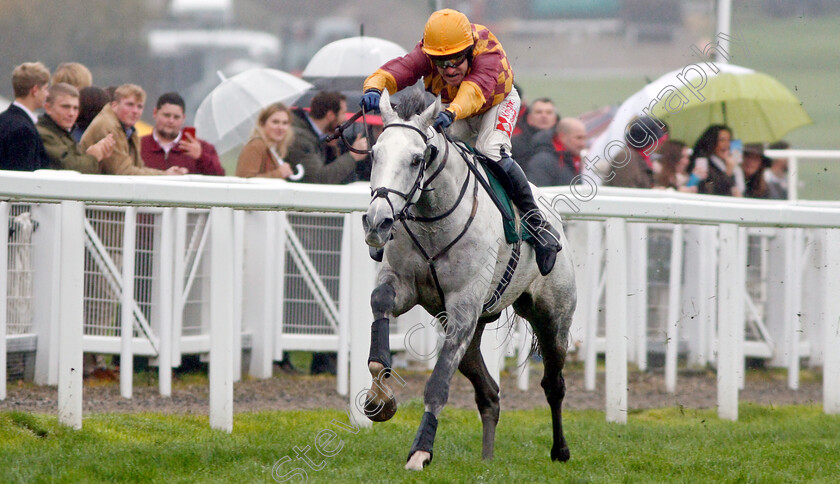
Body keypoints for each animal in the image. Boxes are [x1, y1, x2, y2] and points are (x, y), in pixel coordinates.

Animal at [360, 89, 576, 470]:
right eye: (374, 154)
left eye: (416, 159)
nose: (377, 222)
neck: (433, 221)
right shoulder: (406, 287)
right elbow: (380, 305)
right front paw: (380, 397)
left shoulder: (463, 306)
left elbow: (437, 385)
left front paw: (420, 451)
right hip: (470, 335)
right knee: (489, 394)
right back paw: (487, 458)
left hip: (553, 320)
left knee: (554, 384)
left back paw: (559, 450)